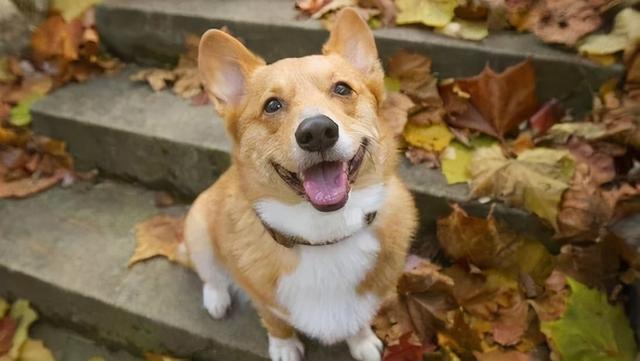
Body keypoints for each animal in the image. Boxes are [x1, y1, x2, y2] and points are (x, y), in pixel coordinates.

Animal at [184, 8, 420, 360]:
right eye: (271, 105)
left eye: (342, 89)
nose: (318, 132)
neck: (324, 237)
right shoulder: (264, 299)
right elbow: (276, 322)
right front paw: (283, 346)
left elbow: (358, 319)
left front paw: (362, 341)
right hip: (198, 228)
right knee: (210, 274)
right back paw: (216, 299)